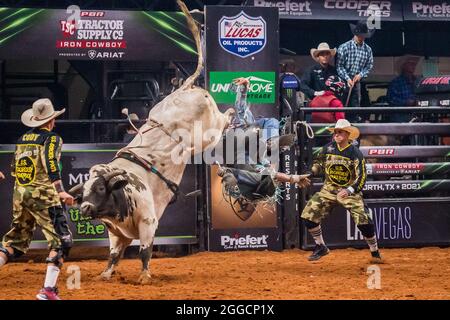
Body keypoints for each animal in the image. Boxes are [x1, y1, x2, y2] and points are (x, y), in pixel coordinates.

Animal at [69, 1, 234, 284]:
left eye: (100, 188)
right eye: (85, 190)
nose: (86, 208)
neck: (121, 193)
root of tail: (185, 88)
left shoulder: (148, 221)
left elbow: (145, 250)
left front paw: (144, 276)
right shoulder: (117, 233)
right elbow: (114, 255)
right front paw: (105, 274)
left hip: (208, 132)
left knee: (223, 119)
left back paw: (237, 99)